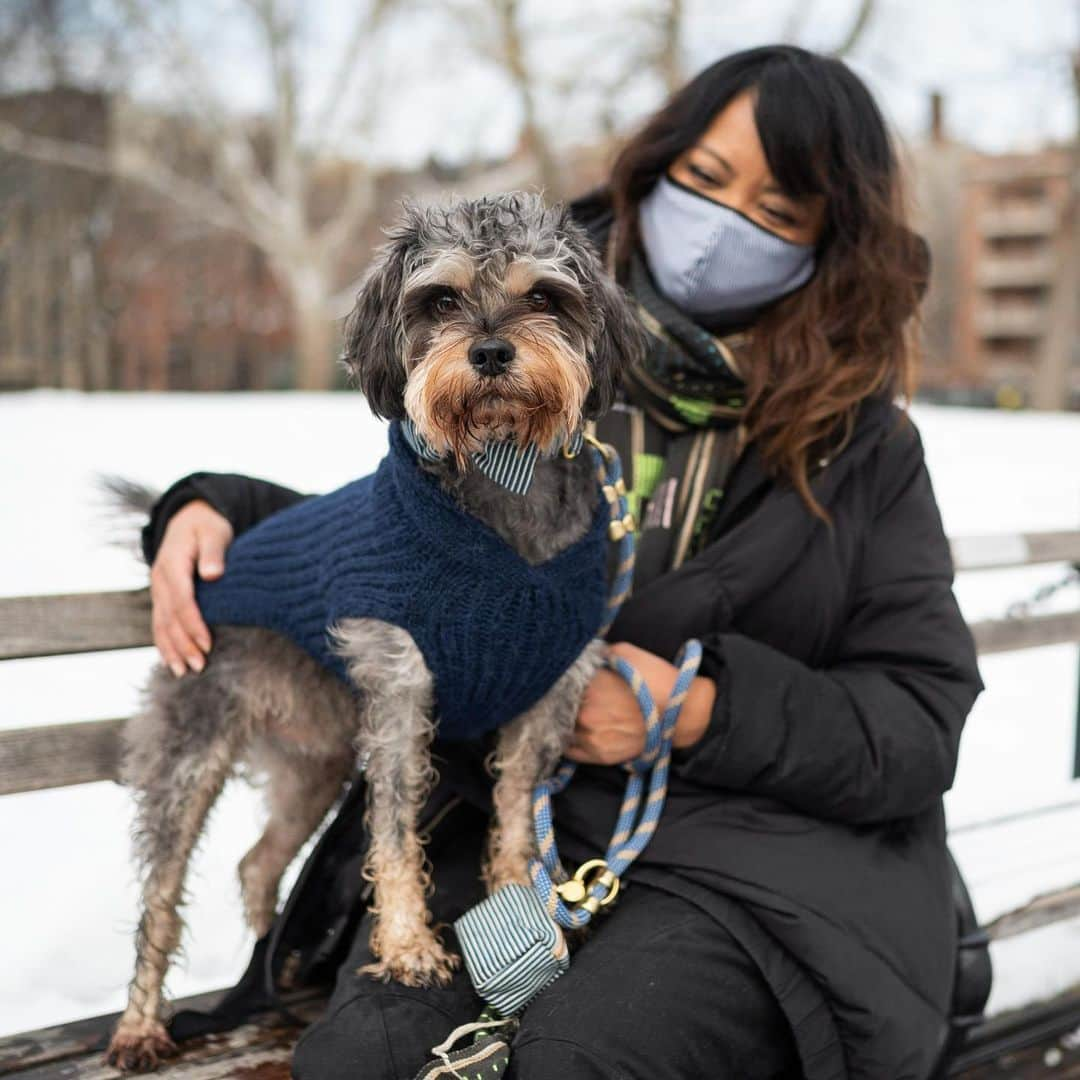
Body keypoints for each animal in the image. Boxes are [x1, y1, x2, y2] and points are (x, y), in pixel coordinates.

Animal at [107, 190, 648, 1067]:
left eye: (544, 294)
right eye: (440, 299)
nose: (490, 351)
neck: (501, 482)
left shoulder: (547, 697)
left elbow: (517, 815)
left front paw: (521, 906)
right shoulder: (400, 694)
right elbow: (394, 837)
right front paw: (408, 949)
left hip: (315, 765)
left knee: (257, 863)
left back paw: (274, 964)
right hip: (190, 758)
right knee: (160, 895)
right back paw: (140, 1025)